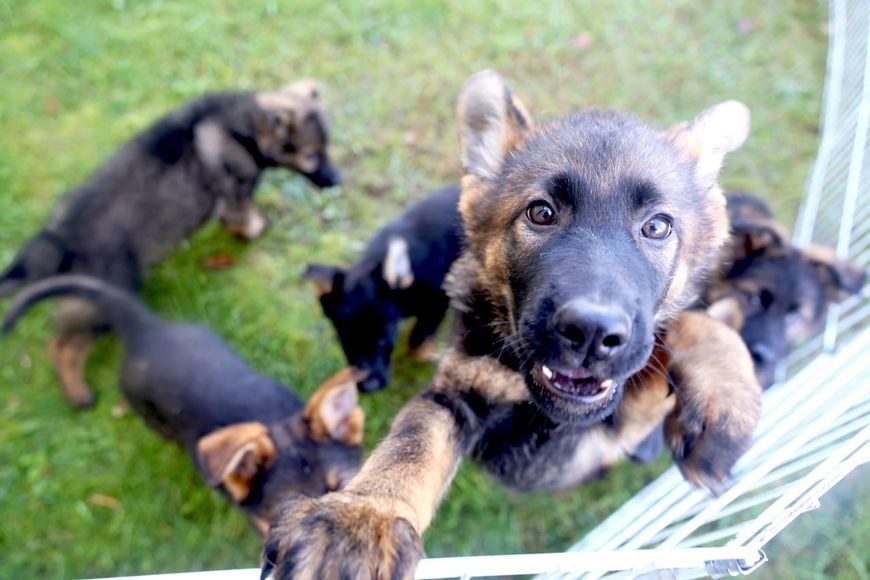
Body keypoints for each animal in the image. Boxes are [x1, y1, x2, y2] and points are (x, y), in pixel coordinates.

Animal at [0, 79, 340, 408]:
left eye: (327, 148)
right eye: (311, 156)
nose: (338, 182)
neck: (243, 125)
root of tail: (58, 239)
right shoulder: (236, 195)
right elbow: (247, 217)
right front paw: (257, 229)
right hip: (101, 300)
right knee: (63, 345)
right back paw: (78, 394)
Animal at [308, 185, 470, 394]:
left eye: (384, 339)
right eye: (346, 340)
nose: (369, 387)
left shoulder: (438, 302)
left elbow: (418, 337)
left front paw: (426, 354)